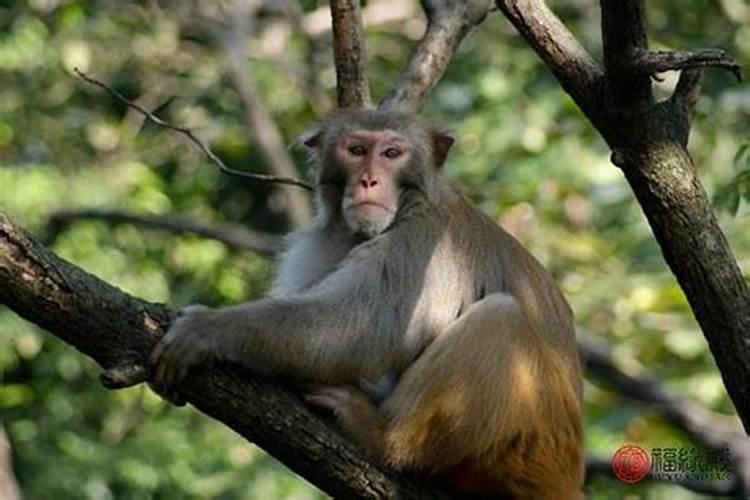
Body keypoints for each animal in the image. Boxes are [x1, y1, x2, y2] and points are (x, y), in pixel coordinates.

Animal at [151, 109, 588, 500]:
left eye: (392, 153)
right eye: (357, 150)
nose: (368, 180)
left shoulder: (424, 243)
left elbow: (357, 330)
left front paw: (208, 331)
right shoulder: (322, 242)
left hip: (525, 451)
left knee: (501, 318)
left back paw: (386, 439)